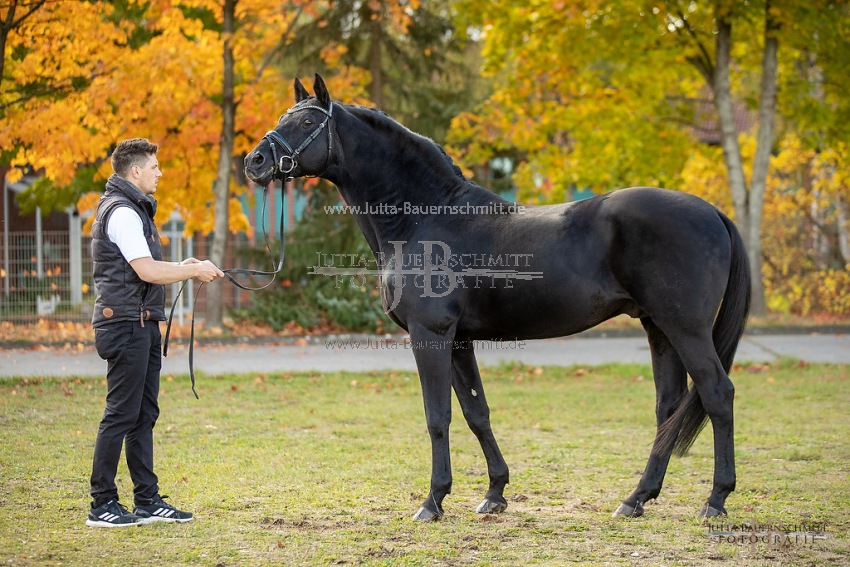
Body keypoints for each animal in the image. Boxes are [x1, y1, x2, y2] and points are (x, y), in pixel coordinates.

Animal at [243, 75, 748, 524]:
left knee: (717, 393)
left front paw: (433, 501)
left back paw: (716, 500)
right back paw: (636, 499)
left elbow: (438, 416)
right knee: (668, 406)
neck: (426, 217)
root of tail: (712, 211)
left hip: (685, 328)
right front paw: (494, 493)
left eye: (309, 120)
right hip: (657, 328)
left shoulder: (430, 335)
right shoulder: (460, 340)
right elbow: (476, 412)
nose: (255, 161)